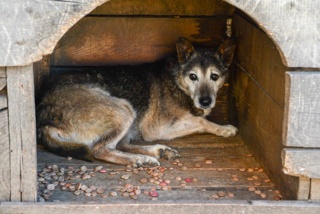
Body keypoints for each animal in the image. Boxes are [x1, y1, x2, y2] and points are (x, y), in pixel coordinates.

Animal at [37, 37, 238, 167]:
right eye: (193, 76)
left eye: (214, 76)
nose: (205, 101)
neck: (177, 81)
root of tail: (45, 120)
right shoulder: (156, 128)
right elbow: (201, 120)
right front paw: (224, 128)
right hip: (124, 109)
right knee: (100, 149)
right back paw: (138, 159)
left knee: (120, 145)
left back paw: (158, 151)